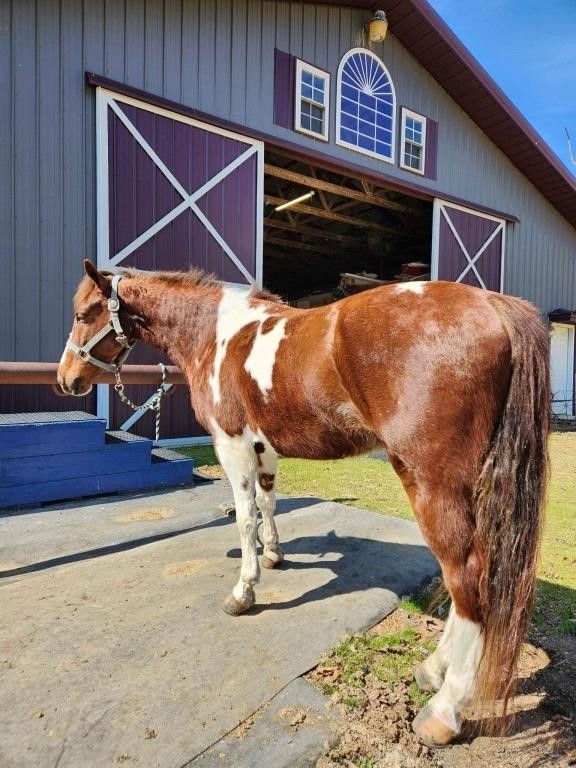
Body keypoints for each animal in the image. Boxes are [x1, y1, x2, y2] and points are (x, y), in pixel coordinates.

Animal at [57, 260, 548, 748]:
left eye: (82, 315)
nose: (65, 379)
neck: (216, 334)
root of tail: (493, 305)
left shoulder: (232, 445)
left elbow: (245, 517)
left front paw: (244, 590)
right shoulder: (264, 448)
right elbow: (268, 502)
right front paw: (274, 554)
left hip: (431, 483)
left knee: (467, 577)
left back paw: (444, 712)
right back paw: (432, 671)